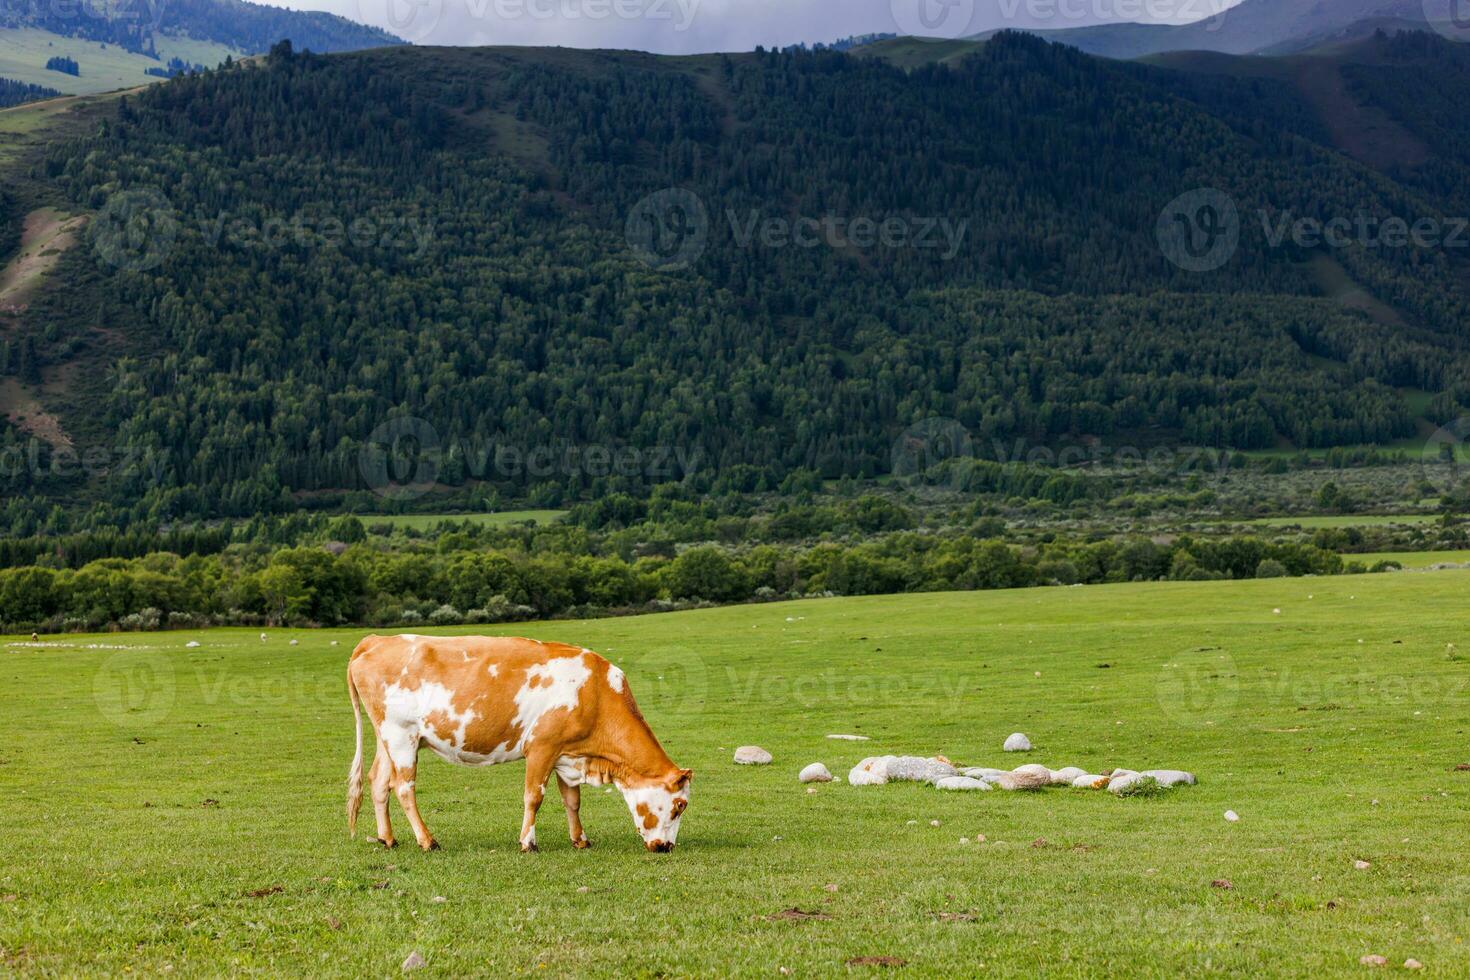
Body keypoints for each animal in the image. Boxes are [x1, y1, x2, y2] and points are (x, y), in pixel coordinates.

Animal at [346, 637, 690, 852]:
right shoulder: (542, 747)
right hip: (401, 736)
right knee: (404, 788)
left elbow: (572, 800)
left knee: (379, 782)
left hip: (389, 738)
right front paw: (528, 842)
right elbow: (533, 797)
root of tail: (376, 639)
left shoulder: (567, 754)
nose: (666, 847)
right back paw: (427, 840)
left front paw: (580, 839)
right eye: (679, 805)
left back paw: (387, 839)